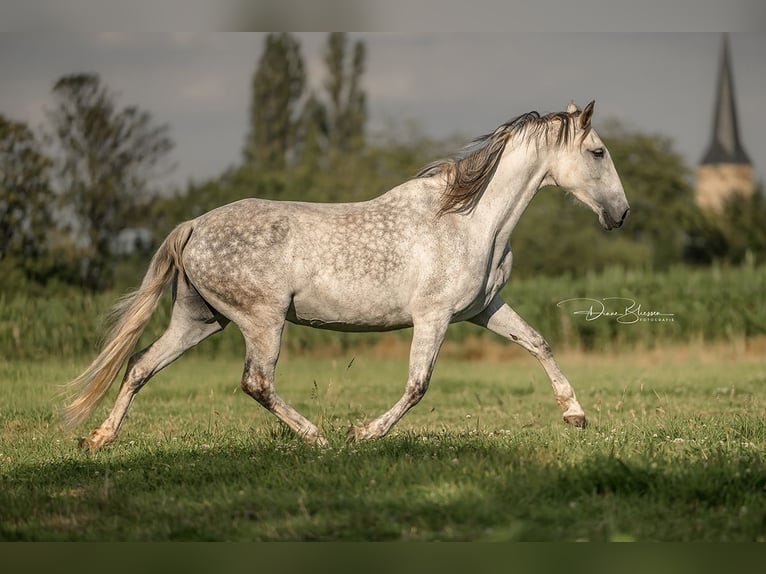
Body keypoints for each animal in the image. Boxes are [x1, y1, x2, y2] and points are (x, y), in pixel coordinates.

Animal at [64, 101, 632, 452]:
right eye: (598, 152)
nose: (622, 214)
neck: (470, 220)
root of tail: (194, 226)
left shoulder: (481, 310)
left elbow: (538, 343)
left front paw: (575, 415)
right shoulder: (434, 317)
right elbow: (418, 385)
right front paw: (364, 434)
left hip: (199, 319)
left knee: (140, 364)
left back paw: (99, 438)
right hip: (263, 320)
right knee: (256, 382)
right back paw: (319, 438)